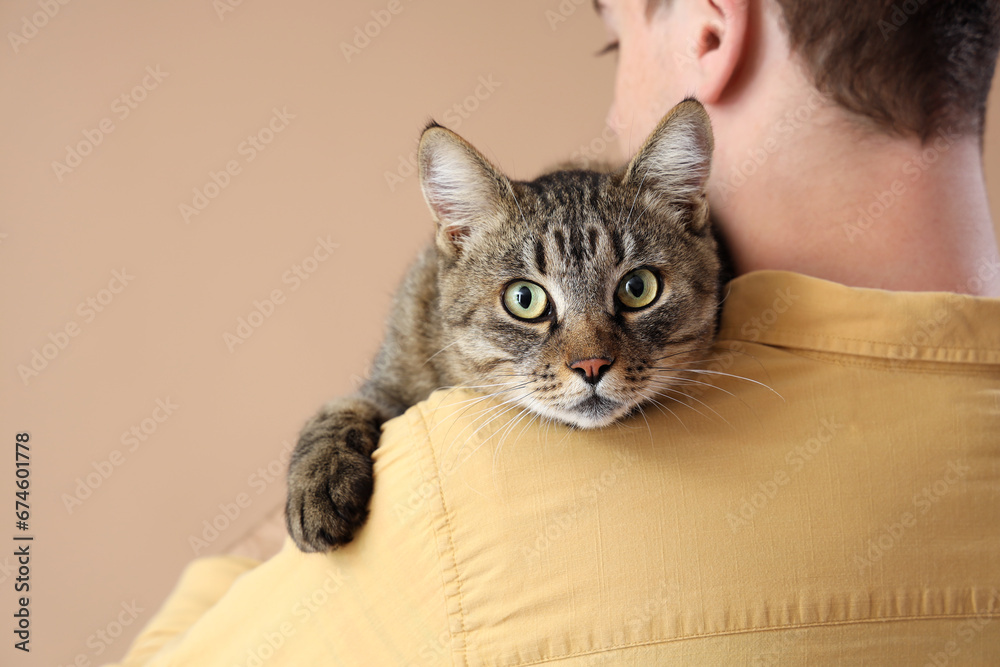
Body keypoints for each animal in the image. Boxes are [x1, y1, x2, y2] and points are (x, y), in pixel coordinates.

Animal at [288, 98, 720, 552]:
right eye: (524, 299)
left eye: (638, 287)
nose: (592, 365)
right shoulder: (389, 379)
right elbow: (342, 406)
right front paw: (316, 480)